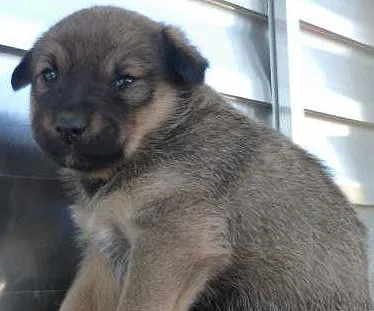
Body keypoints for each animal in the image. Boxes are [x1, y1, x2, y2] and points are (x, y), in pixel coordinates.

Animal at [10, 5, 372, 311]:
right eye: (49, 75)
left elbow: (138, 303)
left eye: (125, 80)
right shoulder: (104, 255)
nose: (68, 126)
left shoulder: (172, 244)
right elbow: (77, 301)